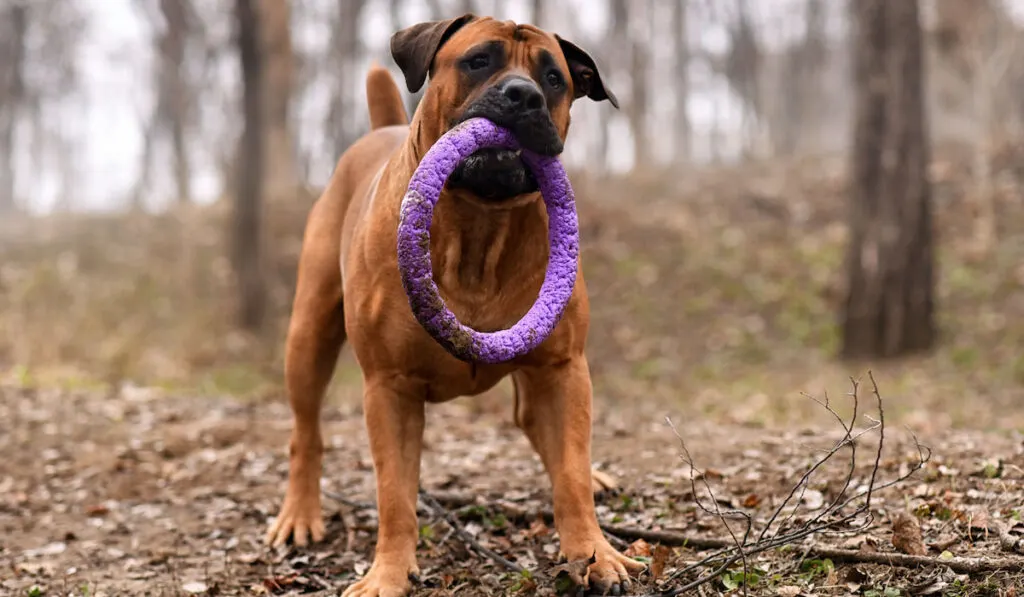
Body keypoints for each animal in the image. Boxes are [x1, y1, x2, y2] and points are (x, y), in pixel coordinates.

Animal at [268, 14, 643, 597]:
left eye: (553, 78)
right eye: (478, 61)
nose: (524, 95)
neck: (479, 226)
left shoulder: (562, 368)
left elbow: (571, 476)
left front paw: (595, 554)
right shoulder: (390, 388)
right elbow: (395, 493)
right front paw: (387, 574)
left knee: (542, 430)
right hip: (308, 336)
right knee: (305, 432)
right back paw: (299, 515)